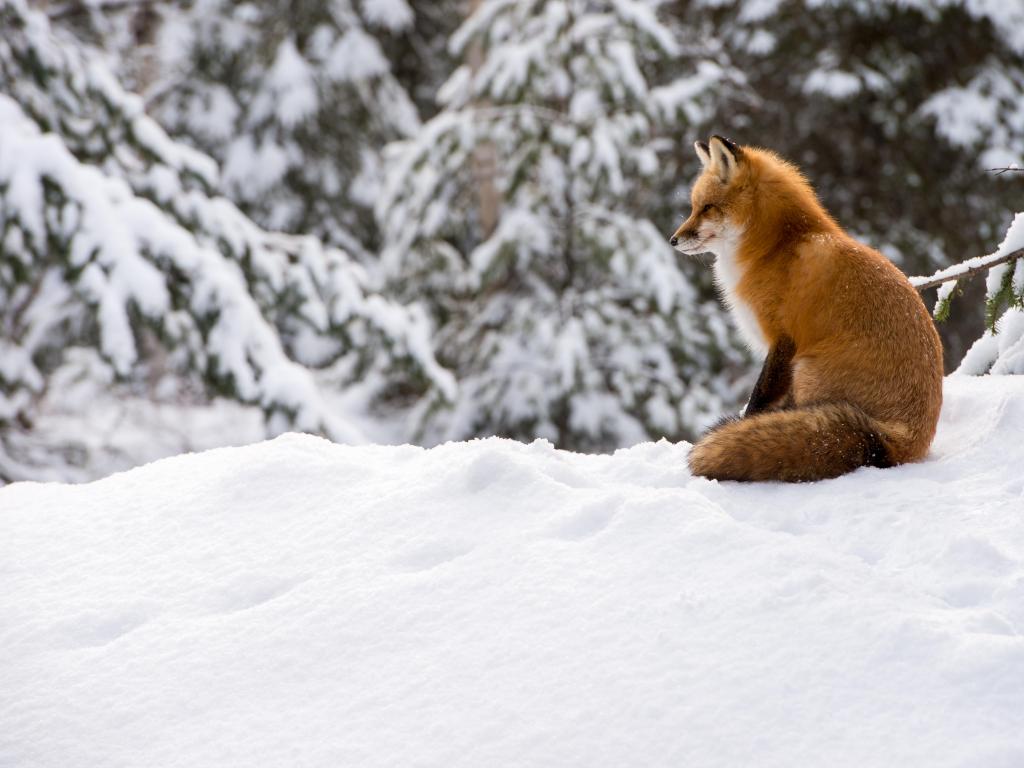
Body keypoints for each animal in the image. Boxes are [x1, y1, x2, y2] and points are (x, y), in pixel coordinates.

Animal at [671, 137, 942, 481]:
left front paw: (745, 425)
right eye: (694, 207)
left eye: (706, 207)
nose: (673, 240)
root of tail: (901, 441)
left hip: (806, 369)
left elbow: (759, 398)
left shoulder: (783, 339)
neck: (775, 247)